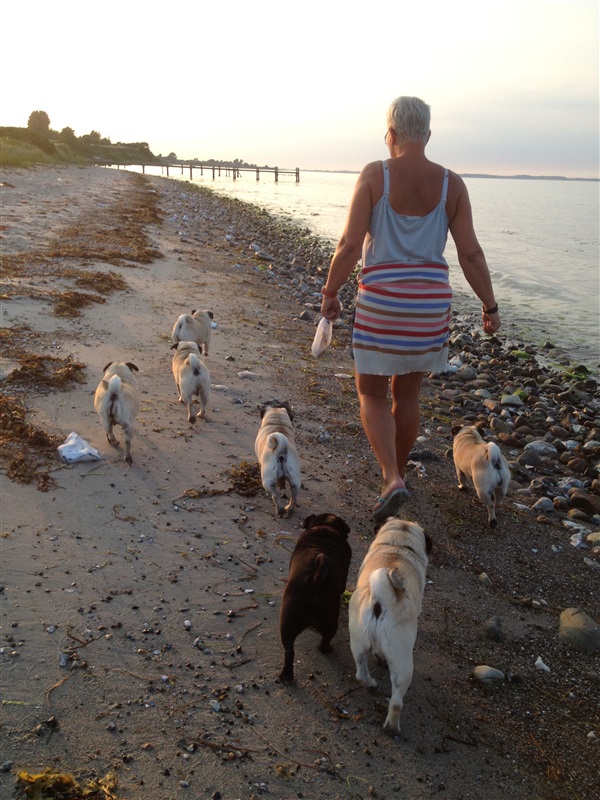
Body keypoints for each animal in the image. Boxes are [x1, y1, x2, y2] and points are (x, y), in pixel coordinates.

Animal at [279, 513, 352, 683]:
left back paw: (286, 676)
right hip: (330, 622)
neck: (326, 527)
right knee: (326, 639)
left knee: (289, 652)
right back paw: (326, 649)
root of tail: (315, 579)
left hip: (287, 624)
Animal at [348, 517, 432, 735]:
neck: (397, 546)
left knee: (361, 672)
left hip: (358, 644)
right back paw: (393, 727)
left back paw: (371, 684)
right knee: (396, 701)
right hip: (403, 663)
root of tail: (382, 599)